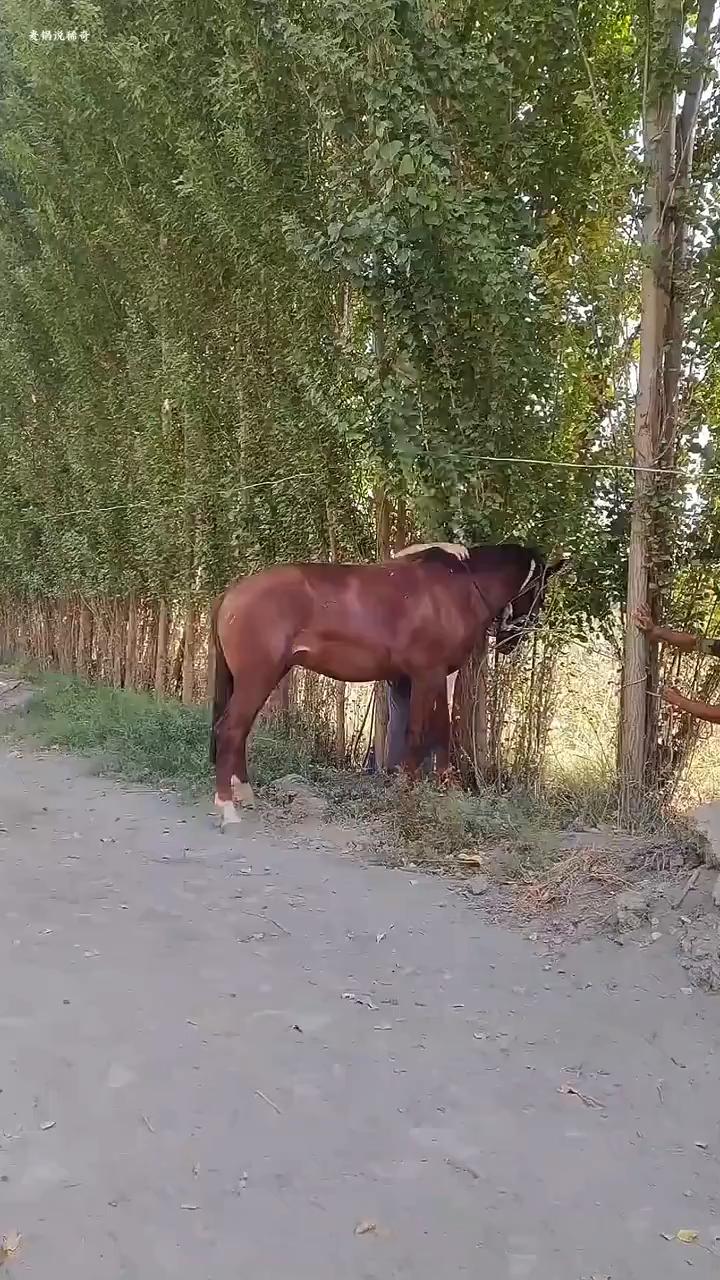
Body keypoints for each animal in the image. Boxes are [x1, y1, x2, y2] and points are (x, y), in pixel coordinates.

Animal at [209, 542, 566, 827]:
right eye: (540, 591)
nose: (512, 640)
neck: (456, 591)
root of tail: (231, 593)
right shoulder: (426, 675)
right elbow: (418, 732)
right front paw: (408, 791)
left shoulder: (438, 676)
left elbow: (442, 730)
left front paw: (447, 787)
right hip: (257, 678)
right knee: (231, 728)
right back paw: (227, 807)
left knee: (239, 729)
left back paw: (244, 793)